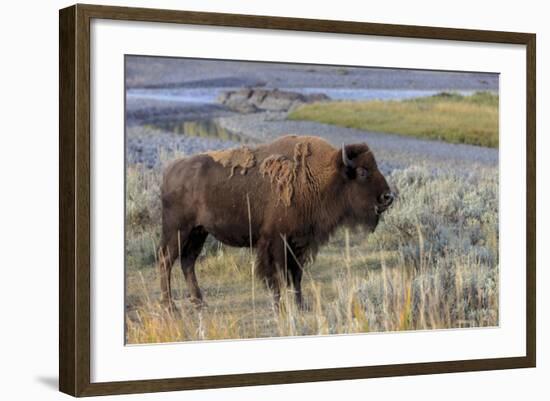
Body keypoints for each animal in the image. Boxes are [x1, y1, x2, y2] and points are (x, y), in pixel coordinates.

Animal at [157, 134, 394, 310]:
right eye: (362, 171)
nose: (388, 197)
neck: (319, 176)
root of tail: (169, 171)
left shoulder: (300, 242)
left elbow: (296, 275)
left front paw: (301, 305)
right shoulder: (277, 241)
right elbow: (278, 274)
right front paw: (280, 306)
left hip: (199, 232)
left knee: (188, 261)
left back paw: (199, 302)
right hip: (178, 230)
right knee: (166, 260)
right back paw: (170, 306)